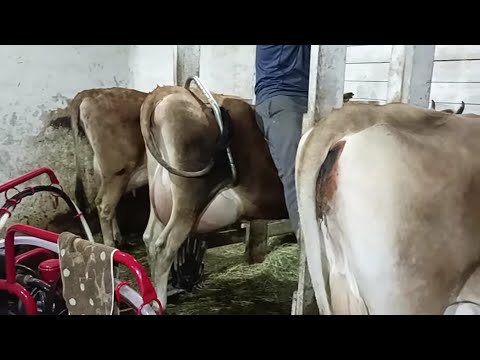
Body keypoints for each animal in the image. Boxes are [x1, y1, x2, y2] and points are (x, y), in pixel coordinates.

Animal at [71, 88, 148, 249]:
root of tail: (89, 93)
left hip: (102, 171)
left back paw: (118, 237)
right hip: (118, 171)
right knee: (104, 205)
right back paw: (110, 245)